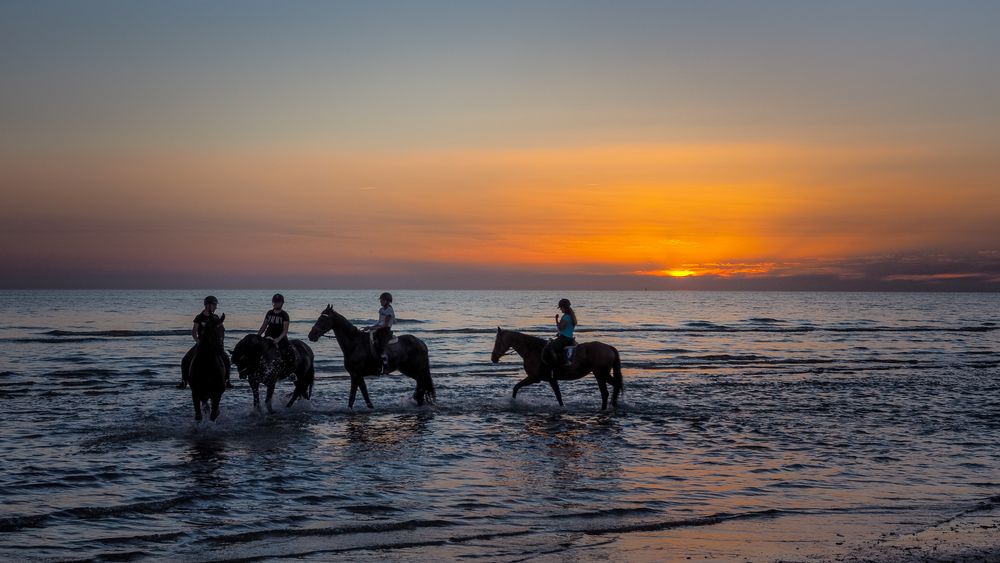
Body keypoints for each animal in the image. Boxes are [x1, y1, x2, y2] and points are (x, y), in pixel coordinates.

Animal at [488, 326, 620, 410]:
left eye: (497, 342)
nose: (493, 358)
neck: (533, 350)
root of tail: (608, 347)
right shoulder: (552, 380)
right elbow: (559, 397)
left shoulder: (534, 378)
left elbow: (516, 387)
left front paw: (513, 403)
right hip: (602, 375)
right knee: (613, 387)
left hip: (600, 374)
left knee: (606, 392)